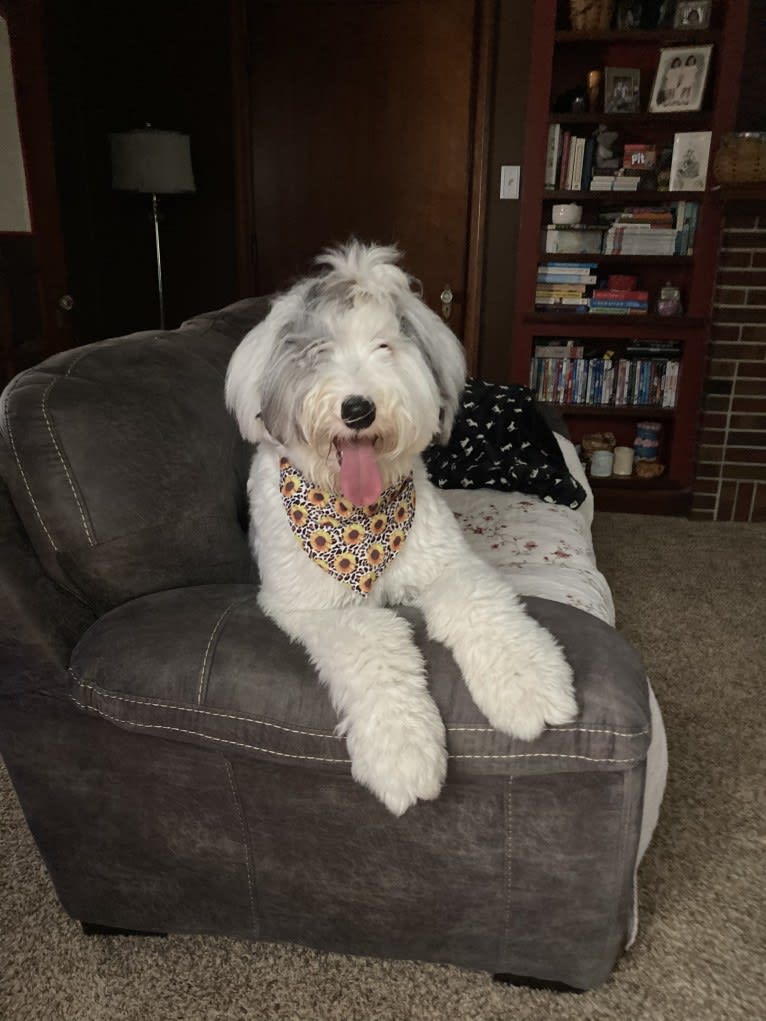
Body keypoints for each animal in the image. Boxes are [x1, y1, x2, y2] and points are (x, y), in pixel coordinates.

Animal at [224, 238, 580, 812]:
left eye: (385, 346)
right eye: (318, 350)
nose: (357, 409)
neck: (356, 526)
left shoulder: (449, 565)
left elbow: (482, 607)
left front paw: (528, 684)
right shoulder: (321, 608)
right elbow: (374, 644)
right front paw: (402, 754)